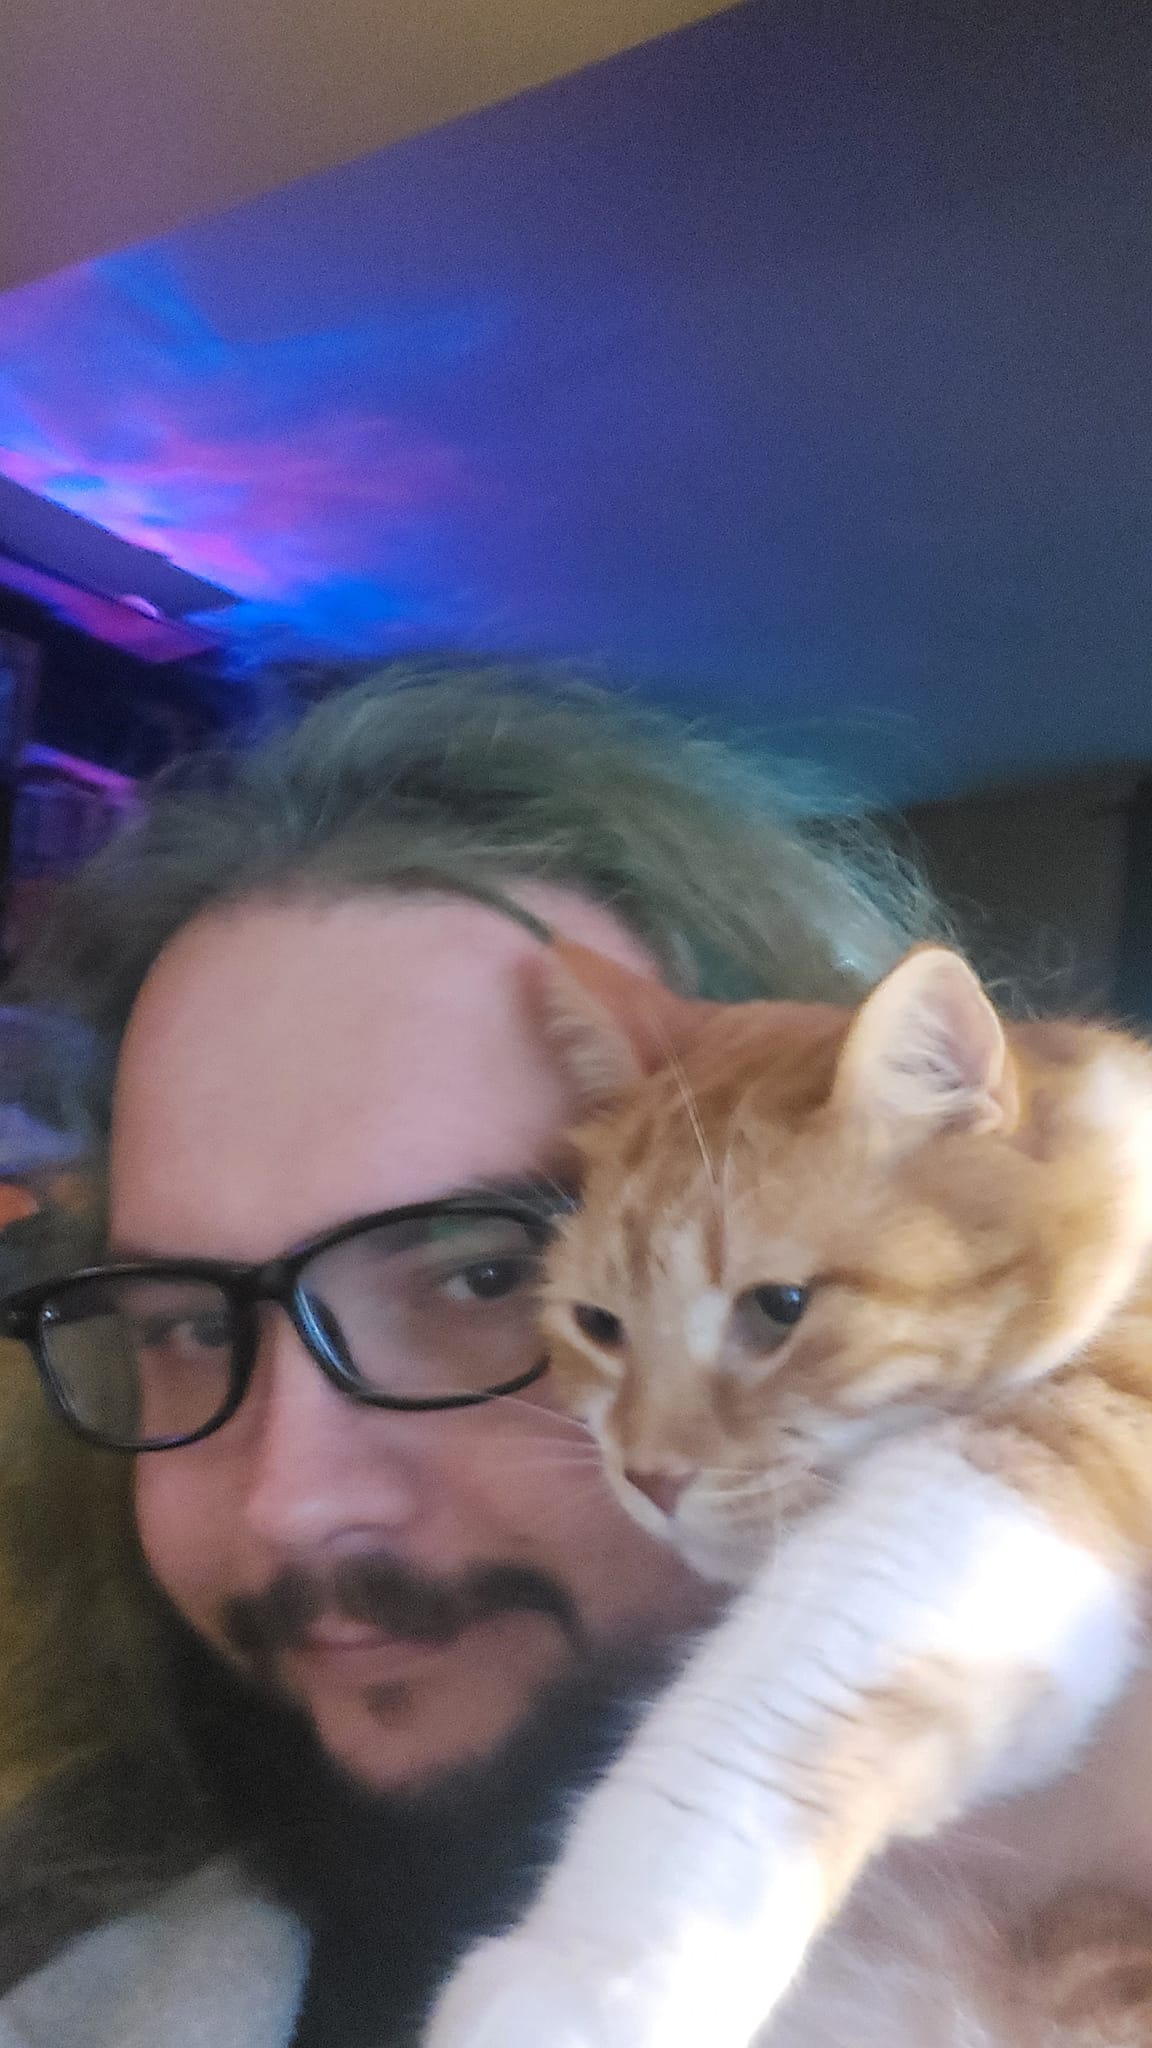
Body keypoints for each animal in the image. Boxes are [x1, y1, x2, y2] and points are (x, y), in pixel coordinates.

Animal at [426, 942, 1147, 2048]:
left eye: (782, 1308)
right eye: (598, 1324)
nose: (647, 1475)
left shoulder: (1022, 1462)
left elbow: (768, 1715)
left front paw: (583, 1983)